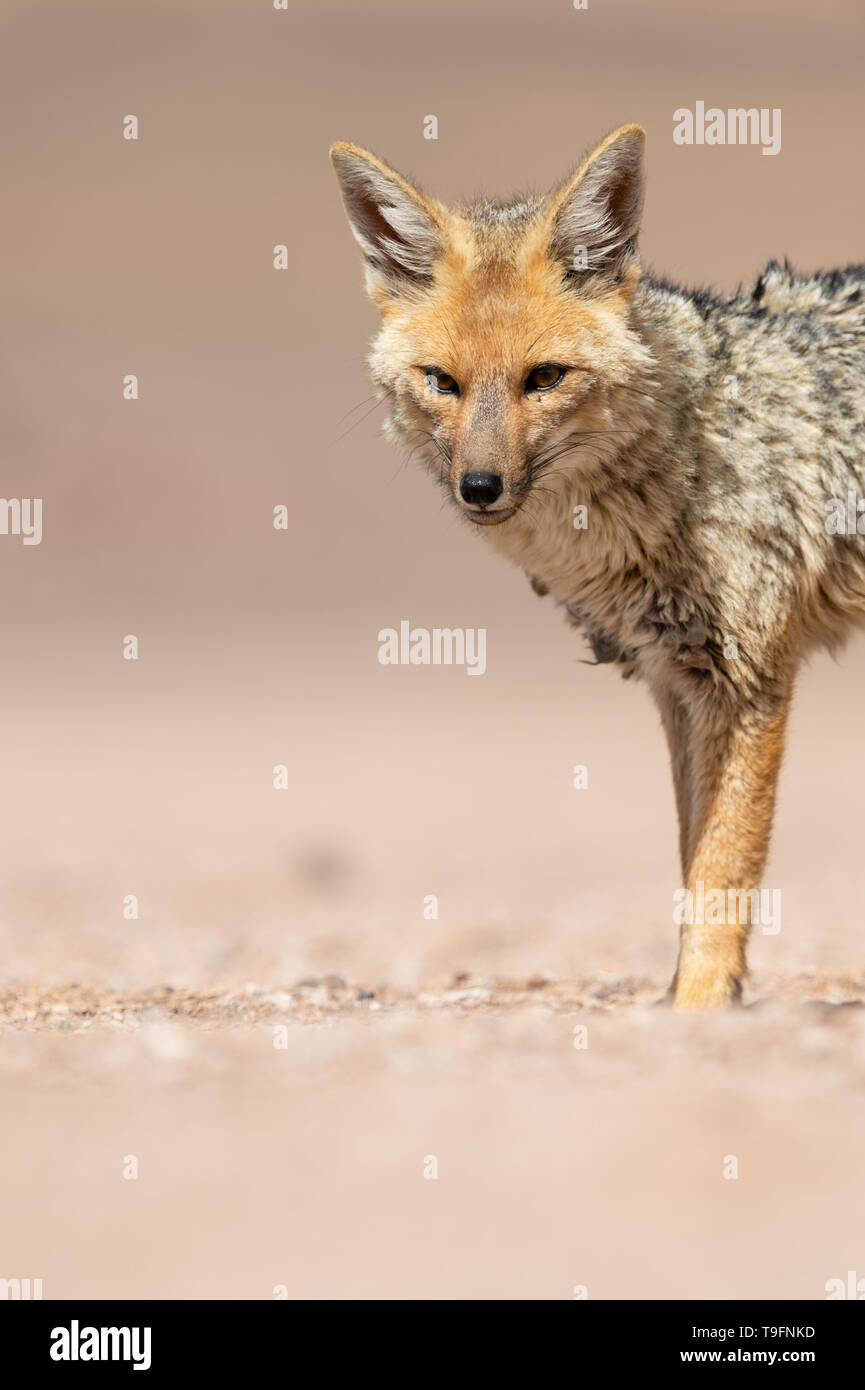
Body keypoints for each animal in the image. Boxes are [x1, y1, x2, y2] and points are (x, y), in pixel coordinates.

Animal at [330, 124, 865, 1010]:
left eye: (544, 378)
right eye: (441, 382)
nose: (480, 488)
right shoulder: (676, 682)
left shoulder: (747, 681)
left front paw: (697, 1007)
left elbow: (721, 868)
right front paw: (690, 996)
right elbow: (690, 857)